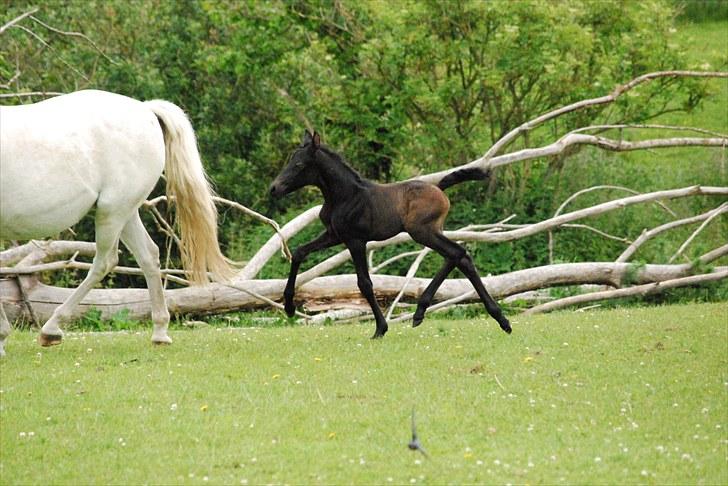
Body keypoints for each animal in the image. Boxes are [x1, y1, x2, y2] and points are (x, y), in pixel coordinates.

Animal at [0, 89, 232, 356]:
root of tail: (146, 109)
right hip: (127, 213)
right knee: (148, 256)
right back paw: (160, 332)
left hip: (112, 212)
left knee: (105, 262)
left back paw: (51, 329)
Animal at [268, 131, 512, 340]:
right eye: (290, 160)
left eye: (299, 164)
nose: (274, 189)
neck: (344, 195)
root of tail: (439, 189)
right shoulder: (334, 235)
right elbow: (299, 252)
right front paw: (288, 307)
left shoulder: (355, 240)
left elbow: (365, 284)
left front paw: (380, 329)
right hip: (432, 231)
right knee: (457, 256)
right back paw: (423, 312)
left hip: (421, 231)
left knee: (458, 253)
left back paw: (499, 320)